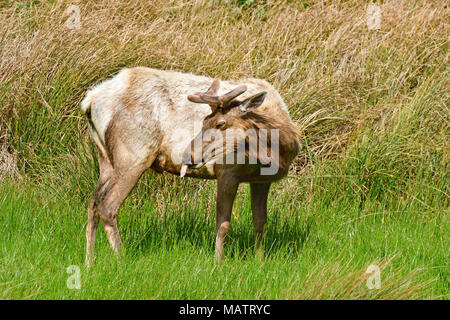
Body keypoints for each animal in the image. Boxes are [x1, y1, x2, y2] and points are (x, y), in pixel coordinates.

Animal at [81, 66, 298, 264]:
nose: (187, 156)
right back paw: (121, 259)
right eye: (203, 122)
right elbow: (223, 223)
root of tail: (90, 100)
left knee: (93, 202)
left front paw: (260, 262)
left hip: (105, 158)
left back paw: (89, 261)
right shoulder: (228, 171)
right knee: (107, 206)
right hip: (133, 153)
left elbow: (260, 221)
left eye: (220, 124)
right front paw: (218, 263)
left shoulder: (261, 180)